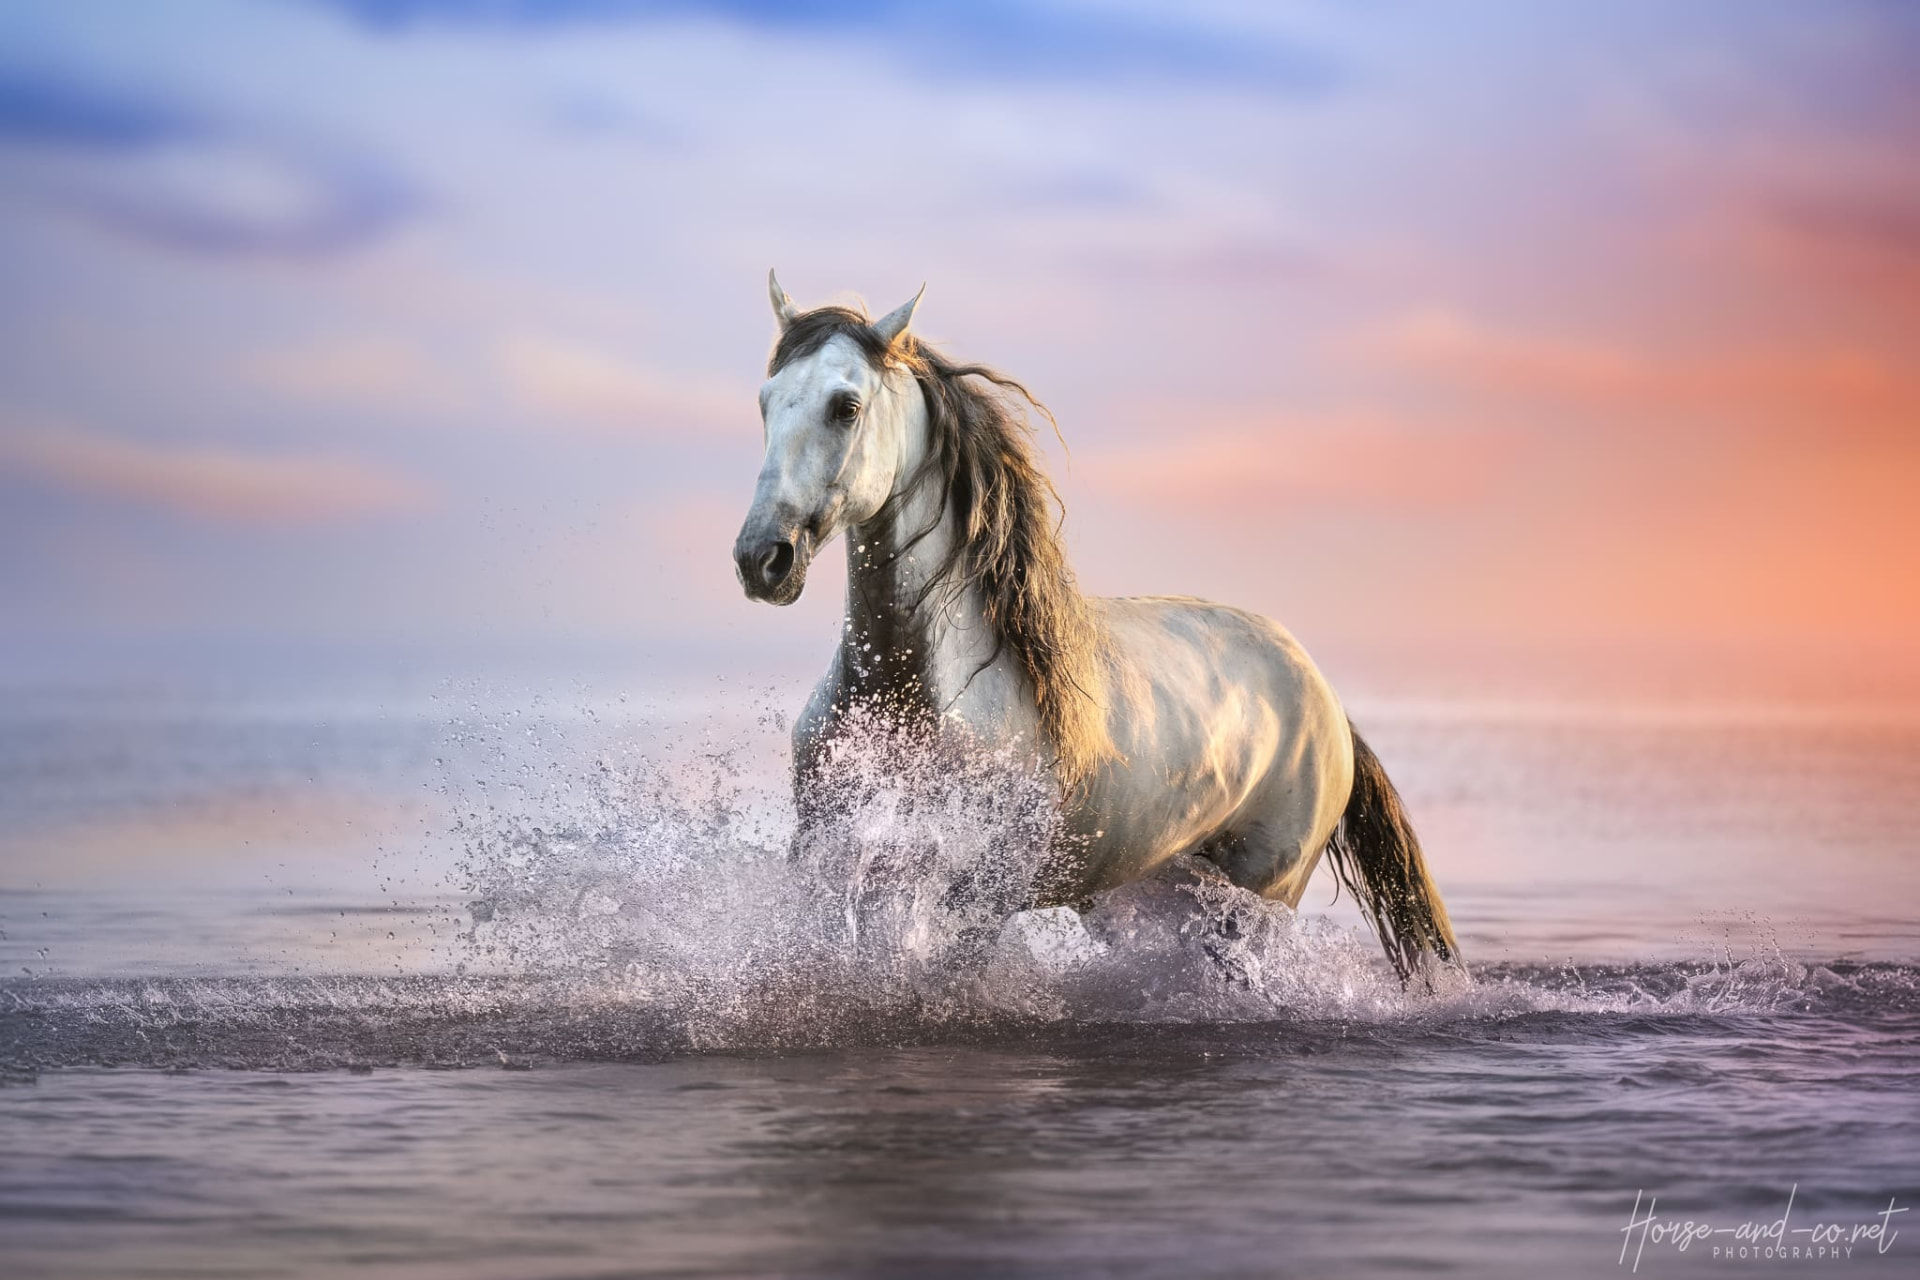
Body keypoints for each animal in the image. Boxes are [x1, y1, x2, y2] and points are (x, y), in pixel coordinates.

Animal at [732, 272, 1462, 982]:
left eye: (846, 406)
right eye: (766, 401)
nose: (762, 558)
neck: (913, 693)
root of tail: (1323, 695)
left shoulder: (981, 898)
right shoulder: (836, 860)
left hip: (1262, 901)